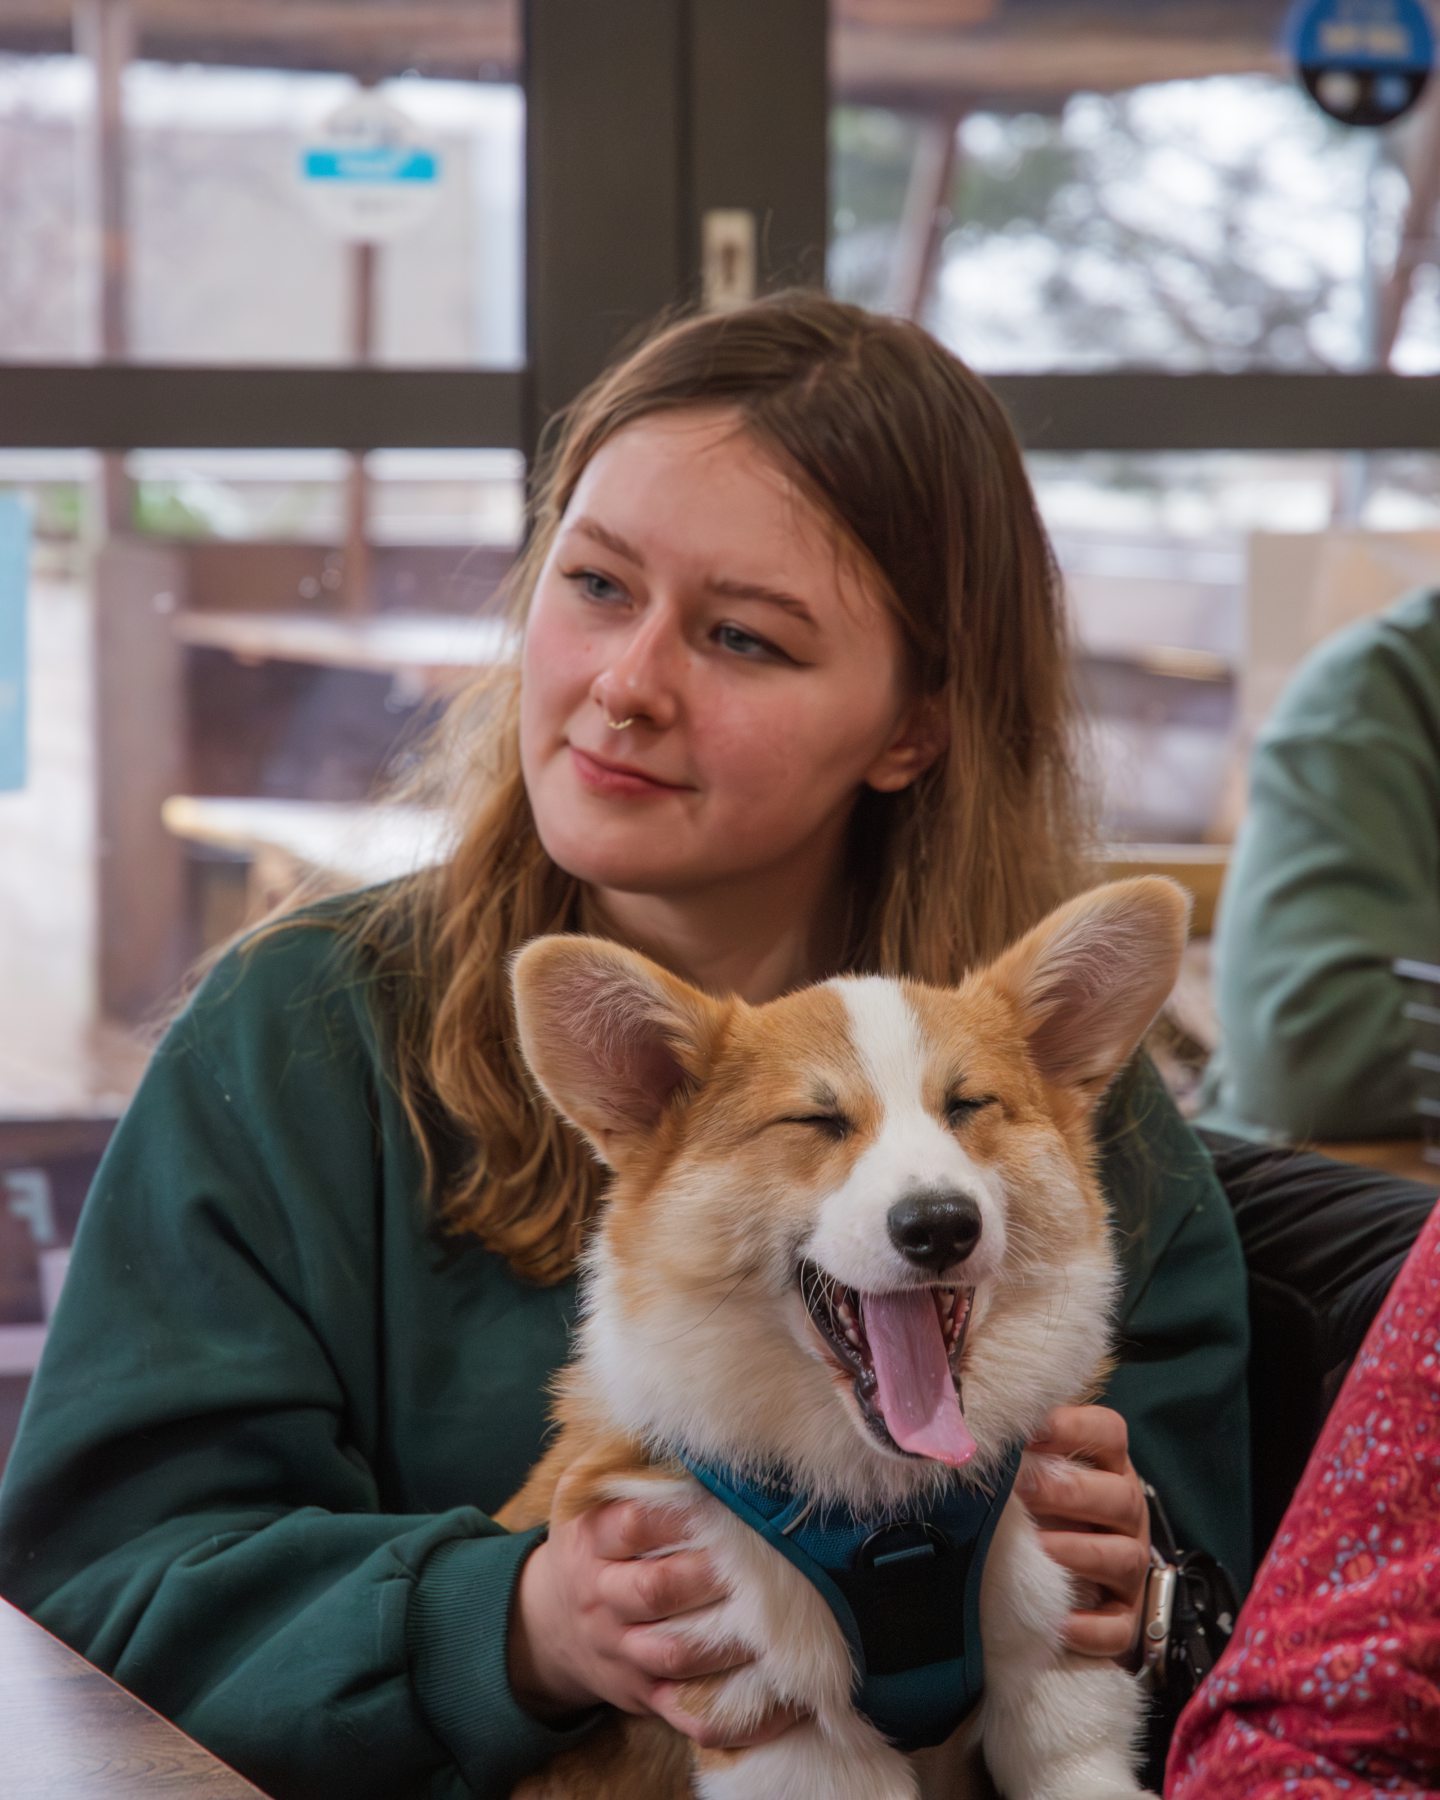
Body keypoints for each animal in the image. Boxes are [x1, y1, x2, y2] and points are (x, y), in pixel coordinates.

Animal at [500, 878, 1188, 1792]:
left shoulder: (1057, 1671)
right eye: (816, 1121)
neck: (886, 1515)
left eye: (967, 1106)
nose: (940, 1225)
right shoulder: (777, 1720)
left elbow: (1072, 1768)